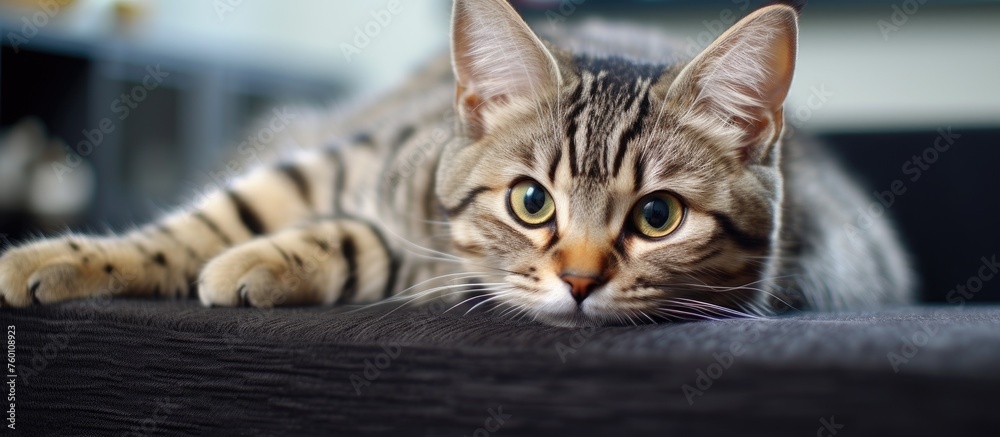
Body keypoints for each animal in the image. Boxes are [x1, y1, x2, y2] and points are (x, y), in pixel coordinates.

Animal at [0, 0, 916, 326]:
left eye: (658, 216)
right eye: (531, 202)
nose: (580, 279)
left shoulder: (434, 267)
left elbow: (359, 244)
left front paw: (259, 262)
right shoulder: (338, 158)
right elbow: (212, 217)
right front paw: (63, 258)